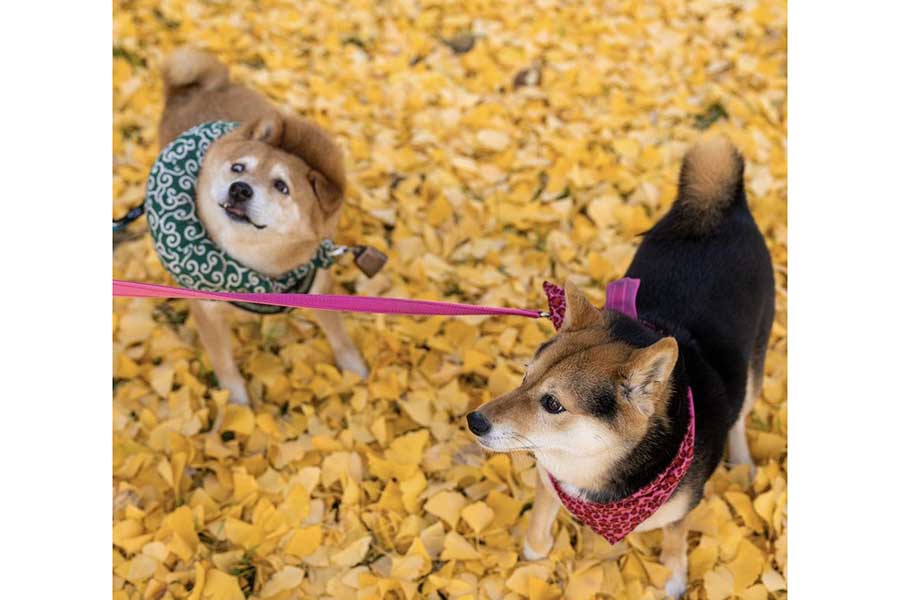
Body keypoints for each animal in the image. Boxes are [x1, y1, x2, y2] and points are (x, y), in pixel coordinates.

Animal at [468, 137, 768, 600]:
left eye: (553, 404)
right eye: (525, 377)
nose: (475, 421)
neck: (591, 466)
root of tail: (720, 207)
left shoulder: (681, 509)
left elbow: (675, 540)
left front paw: (672, 577)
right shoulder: (549, 475)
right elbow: (539, 521)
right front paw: (534, 556)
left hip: (754, 366)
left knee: (740, 413)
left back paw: (742, 460)